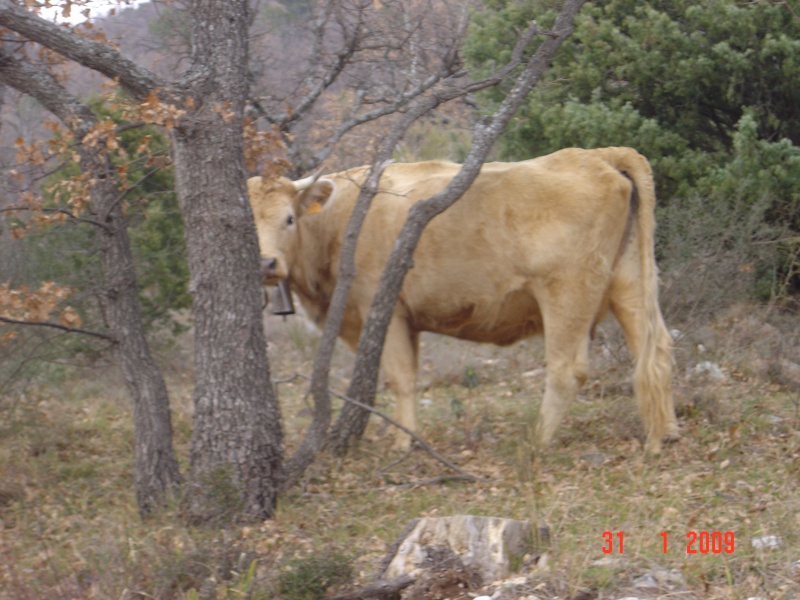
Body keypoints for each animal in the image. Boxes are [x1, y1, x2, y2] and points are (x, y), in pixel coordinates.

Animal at [247, 148, 680, 452]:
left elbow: (400, 377)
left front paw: (404, 443)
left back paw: (536, 440)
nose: (265, 263)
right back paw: (665, 433)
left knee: (567, 369)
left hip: (567, 291)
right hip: (630, 282)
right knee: (655, 349)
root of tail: (598, 155)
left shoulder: (383, 308)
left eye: (289, 218)